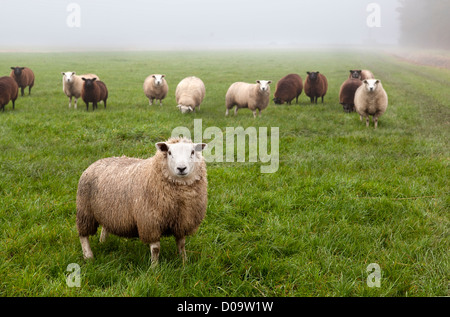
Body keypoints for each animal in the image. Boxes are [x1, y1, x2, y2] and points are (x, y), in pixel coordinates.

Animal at [76, 136, 208, 264]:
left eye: (192, 152)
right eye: (170, 152)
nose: (181, 168)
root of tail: (97, 162)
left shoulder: (181, 221)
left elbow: (181, 244)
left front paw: (184, 262)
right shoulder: (150, 221)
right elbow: (155, 249)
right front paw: (154, 267)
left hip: (109, 211)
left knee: (105, 226)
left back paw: (103, 242)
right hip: (85, 211)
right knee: (83, 236)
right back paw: (88, 256)